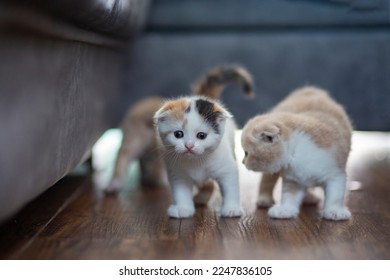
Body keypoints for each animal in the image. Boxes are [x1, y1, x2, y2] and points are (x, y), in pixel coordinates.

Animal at [154, 66, 254, 219]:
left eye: (201, 136)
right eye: (178, 134)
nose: (189, 145)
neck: (196, 161)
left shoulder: (226, 168)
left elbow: (230, 186)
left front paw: (231, 208)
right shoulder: (177, 173)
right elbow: (181, 191)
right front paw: (183, 208)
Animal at [242, 86, 352, 221]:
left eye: (246, 153)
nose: (242, 162)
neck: (297, 152)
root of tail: (309, 89)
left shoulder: (335, 173)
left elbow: (335, 195)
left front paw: (334, 211)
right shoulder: (292, 179)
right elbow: (289, 196)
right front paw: (285, 209)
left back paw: (309, 198)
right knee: (267, 180)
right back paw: (264, 199)